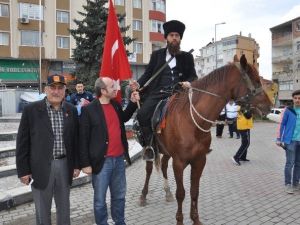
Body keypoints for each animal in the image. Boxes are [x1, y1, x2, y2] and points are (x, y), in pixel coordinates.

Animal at [138, 55, 272, 225]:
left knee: (163, 166)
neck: (191, 120)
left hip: (166, 151)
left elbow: (194, 192)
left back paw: (167, 192)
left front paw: (195, 219)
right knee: (149, 169)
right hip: (150, 149)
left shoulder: (199, 161)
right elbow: (181, 193)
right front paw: (180, 220)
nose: (269, 106)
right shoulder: (179, 163)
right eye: (255, 80)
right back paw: (143, 195)